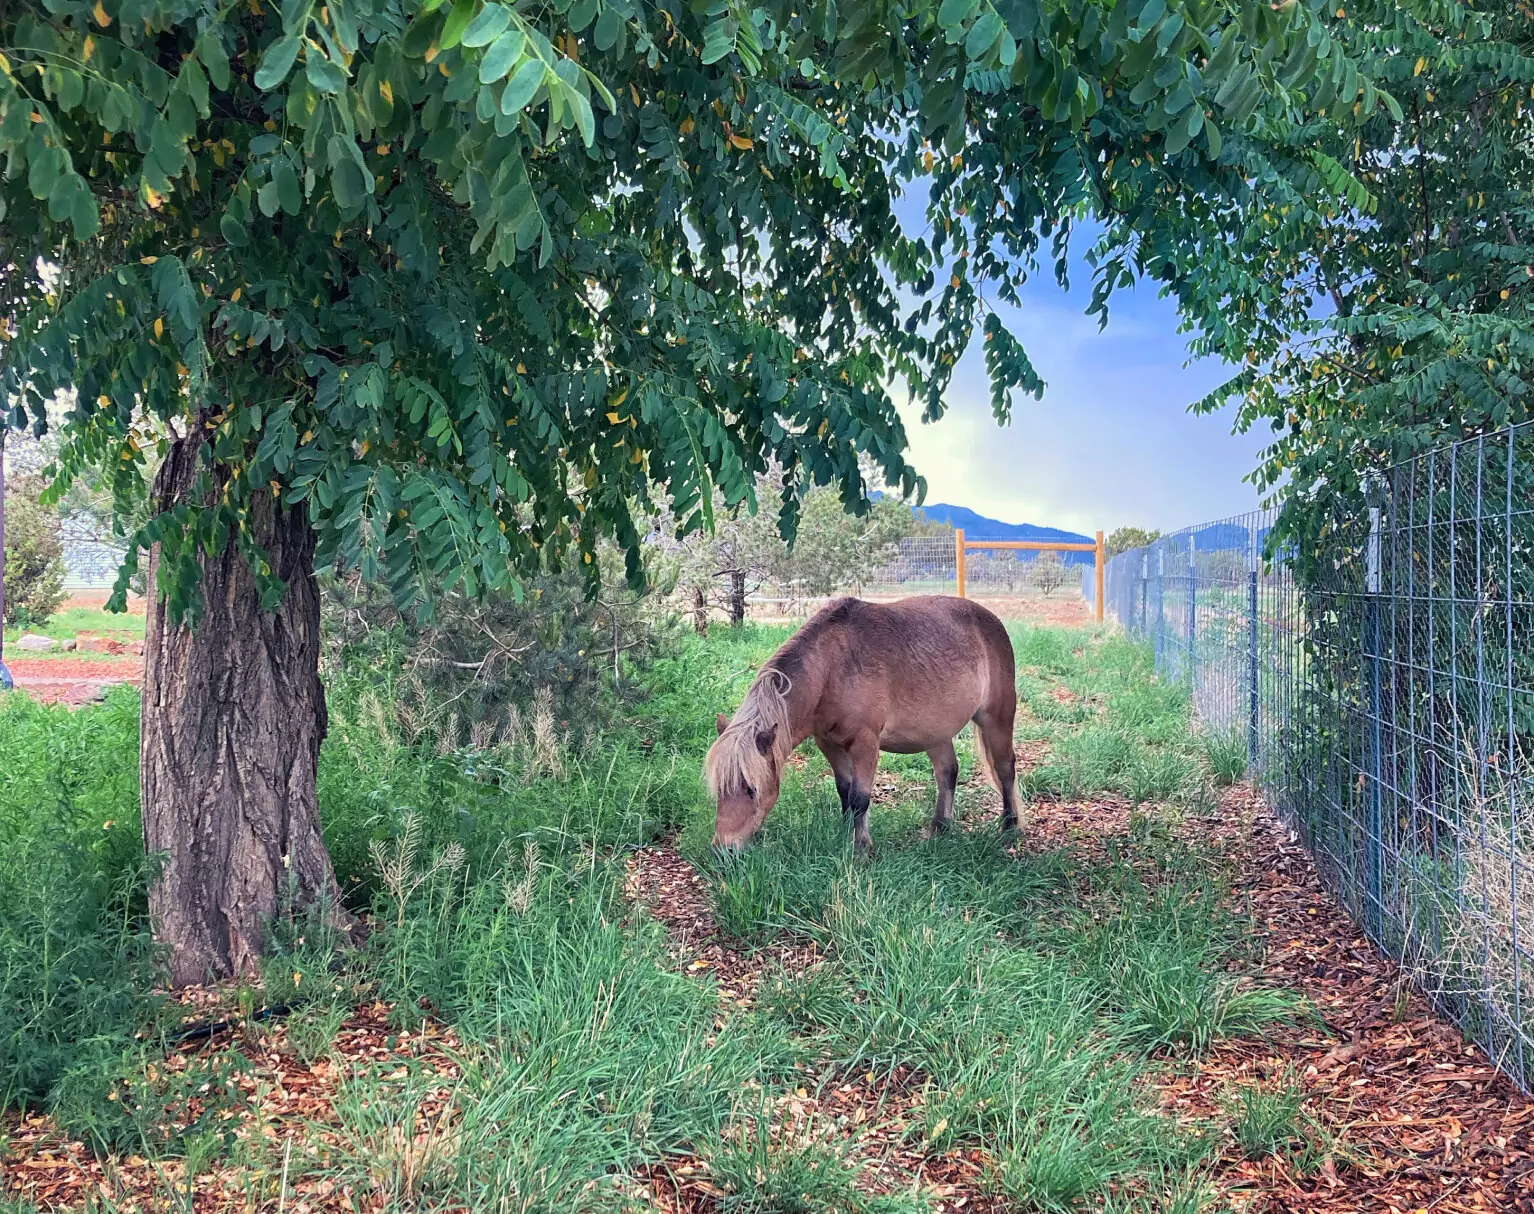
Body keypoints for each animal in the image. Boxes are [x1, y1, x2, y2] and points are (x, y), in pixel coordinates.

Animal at [702, 598, 1018, 853]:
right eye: (719, 789)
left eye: (751, 789)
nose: (722, 850)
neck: (832, 668)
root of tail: (990, 620)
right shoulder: (829, 743)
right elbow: (844, 790)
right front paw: (846, 835)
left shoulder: (866, 743)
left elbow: (860, 797)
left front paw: (861, 849)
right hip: (935, 732)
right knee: (947, 772)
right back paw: (940, 829)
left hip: (997, 718)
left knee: (1005, 769)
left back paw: (1010, 829)